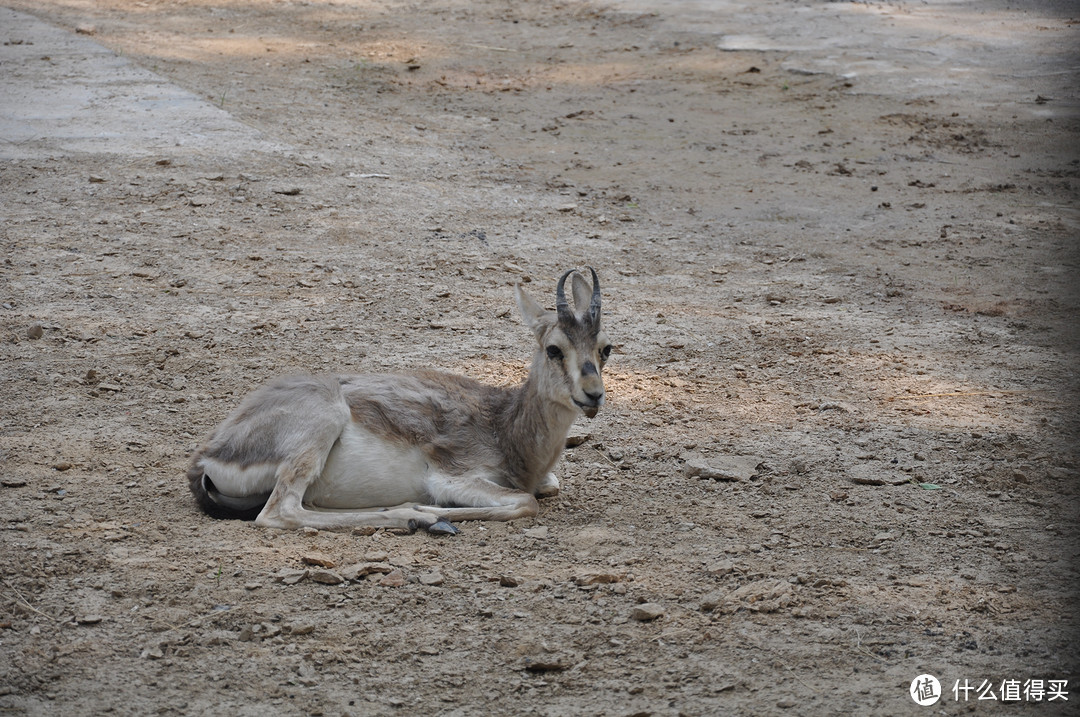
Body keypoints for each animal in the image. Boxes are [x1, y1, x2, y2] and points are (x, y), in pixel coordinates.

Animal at [184, 267, 609, 531]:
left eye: (605, 348)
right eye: (554, 349)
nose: (593, 395)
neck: (504, 426)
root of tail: (206, 456)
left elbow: (546, 488)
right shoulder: (452, 476)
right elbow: (525, 501)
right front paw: (432, 510)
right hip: (320, 426)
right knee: (280, 511)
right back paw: (418, 517)